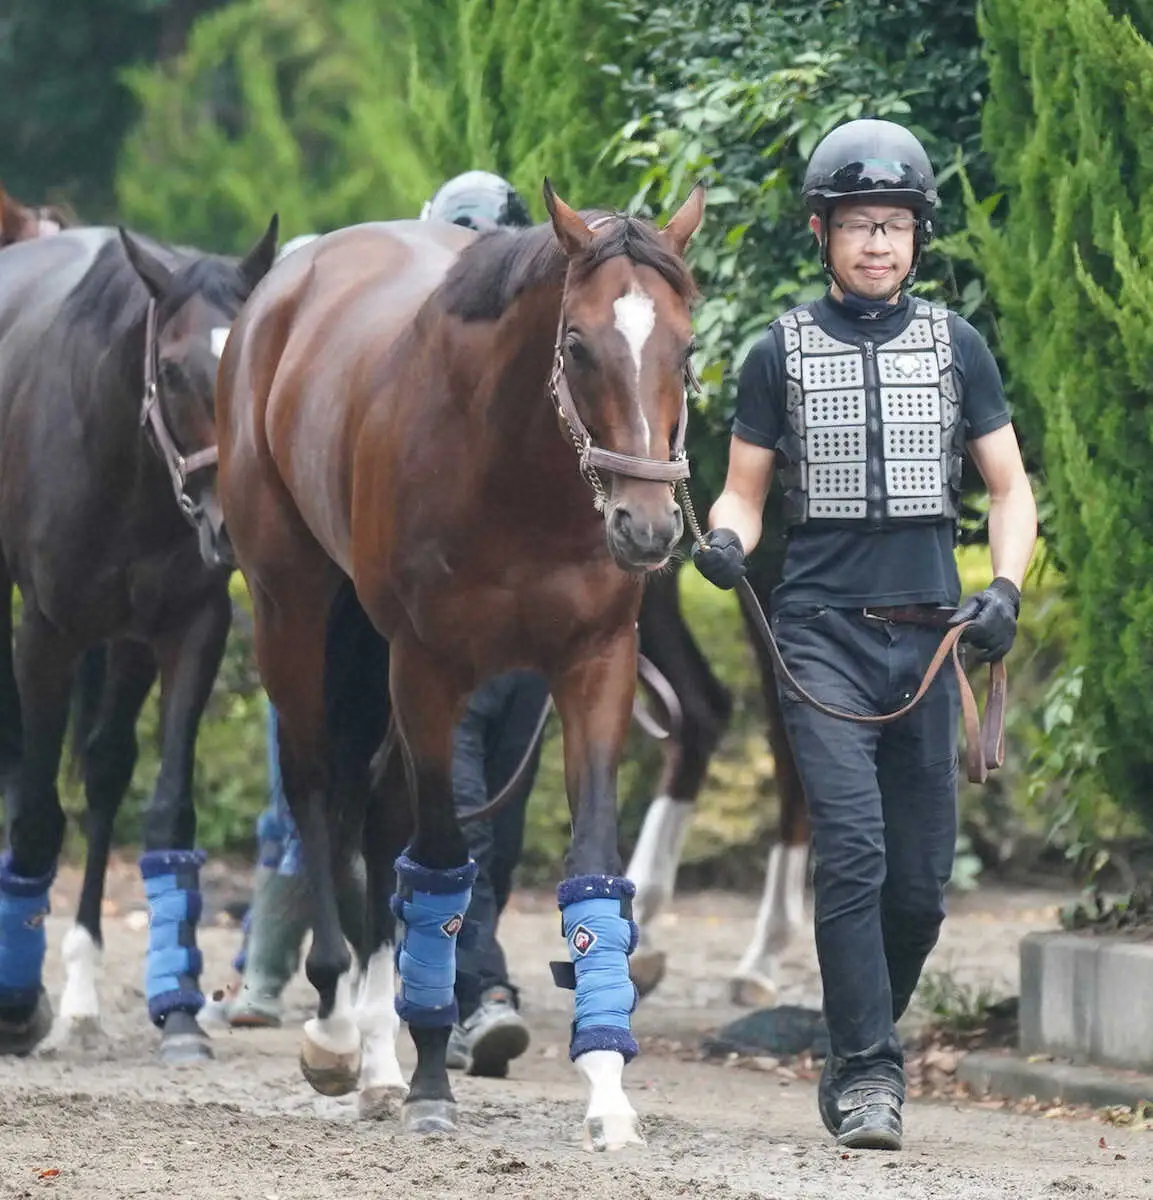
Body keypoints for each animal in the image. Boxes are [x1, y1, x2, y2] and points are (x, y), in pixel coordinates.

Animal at [0, 216, 278, 1060]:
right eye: (175, 369)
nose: (232, 523)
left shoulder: (192, 629)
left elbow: (166, 810)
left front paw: (179, 1006)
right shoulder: (46, 632)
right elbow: (33, 811)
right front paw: (17, 1004)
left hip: (124, 643)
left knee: (104, 770)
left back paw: (84, 996)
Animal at [214, 182, 700, 1147]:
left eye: (686, 345)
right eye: (578, 344)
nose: (647, 525)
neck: (517, 472)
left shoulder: (596, 664)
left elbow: (591, 865)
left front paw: (607, 1092)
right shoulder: (428, 667)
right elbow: (440, 857)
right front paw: (436, 1083)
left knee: (374, 810)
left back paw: (376, 1058)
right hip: (294, 606)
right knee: (319, 788)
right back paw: (337, 1032)